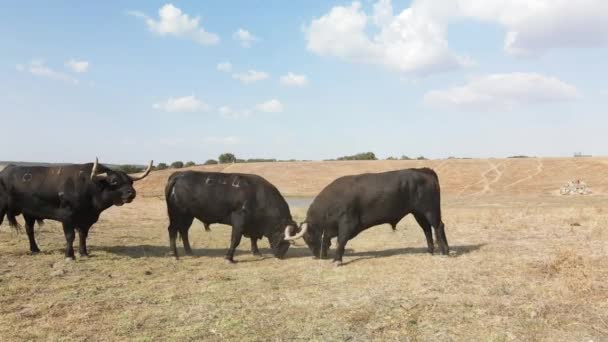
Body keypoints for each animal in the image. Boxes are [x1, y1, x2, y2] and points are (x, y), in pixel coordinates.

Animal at [0, 160, 152, 260]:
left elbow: (83, 235)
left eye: (131, 182)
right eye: (114, 181)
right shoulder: (67, 217)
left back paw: (35, 249)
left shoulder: (86, 220)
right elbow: (70, 236)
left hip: (29, 212)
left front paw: (83, 252)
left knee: (29, 229)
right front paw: (69, 255)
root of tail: (6, 169)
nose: (132, 193)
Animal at [164, 171, 296, 262]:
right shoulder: (239, 220)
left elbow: (253, 239)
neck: (258, 196)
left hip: (188, 216)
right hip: (177, 214)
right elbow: (235, 239)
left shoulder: (252, 225)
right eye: (284, 238)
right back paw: (174, 255)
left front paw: (256, 253)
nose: (281, 255)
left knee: (184, 231)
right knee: (172, 230)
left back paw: (190, 252)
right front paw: (229, 258)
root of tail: (179, 175)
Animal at [286, 168, 452, 264]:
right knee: (427, 229)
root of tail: (424, 170)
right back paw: (430, 251)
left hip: (430, 211)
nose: (317, 256)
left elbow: (341, 240)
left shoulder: (347, 223)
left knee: (438, 226)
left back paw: (445, 251)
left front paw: (337, 259)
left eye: (308, 237)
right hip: (418, 213)